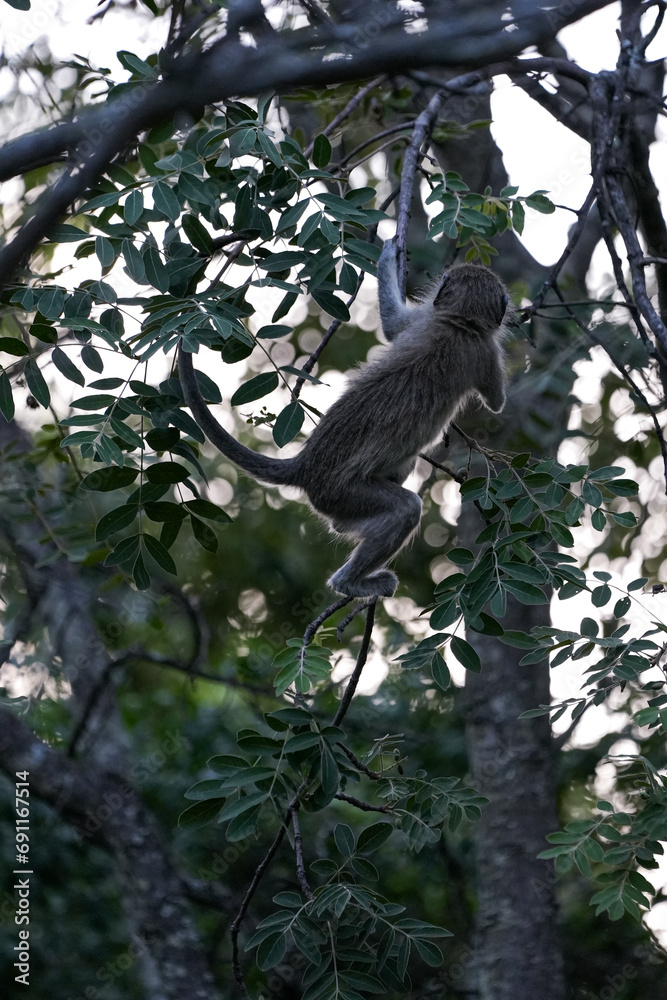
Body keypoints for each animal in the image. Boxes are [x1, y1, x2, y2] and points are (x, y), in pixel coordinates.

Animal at [177, 240, 508, 598]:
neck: (458, 322)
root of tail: (304, 466)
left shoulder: (423, 320)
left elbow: (392, 326)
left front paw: (388, 255)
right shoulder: (485, 350)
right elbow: (497, 403)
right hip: (342, 493)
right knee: (405, 509)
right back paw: (350, 582)